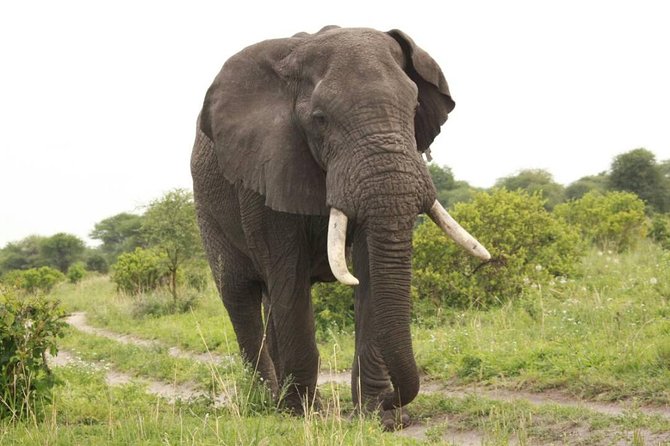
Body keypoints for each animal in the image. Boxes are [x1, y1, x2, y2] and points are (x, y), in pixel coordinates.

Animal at [190, 26, 490, 428]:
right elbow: (290, 277)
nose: (396, 401)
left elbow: (369, 270)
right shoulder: (266, 166)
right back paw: (266, 400)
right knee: (240, 295)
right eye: (320, 119)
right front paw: (303, 415)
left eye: (414, 108)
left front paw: (377, 415)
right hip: (207, 208)